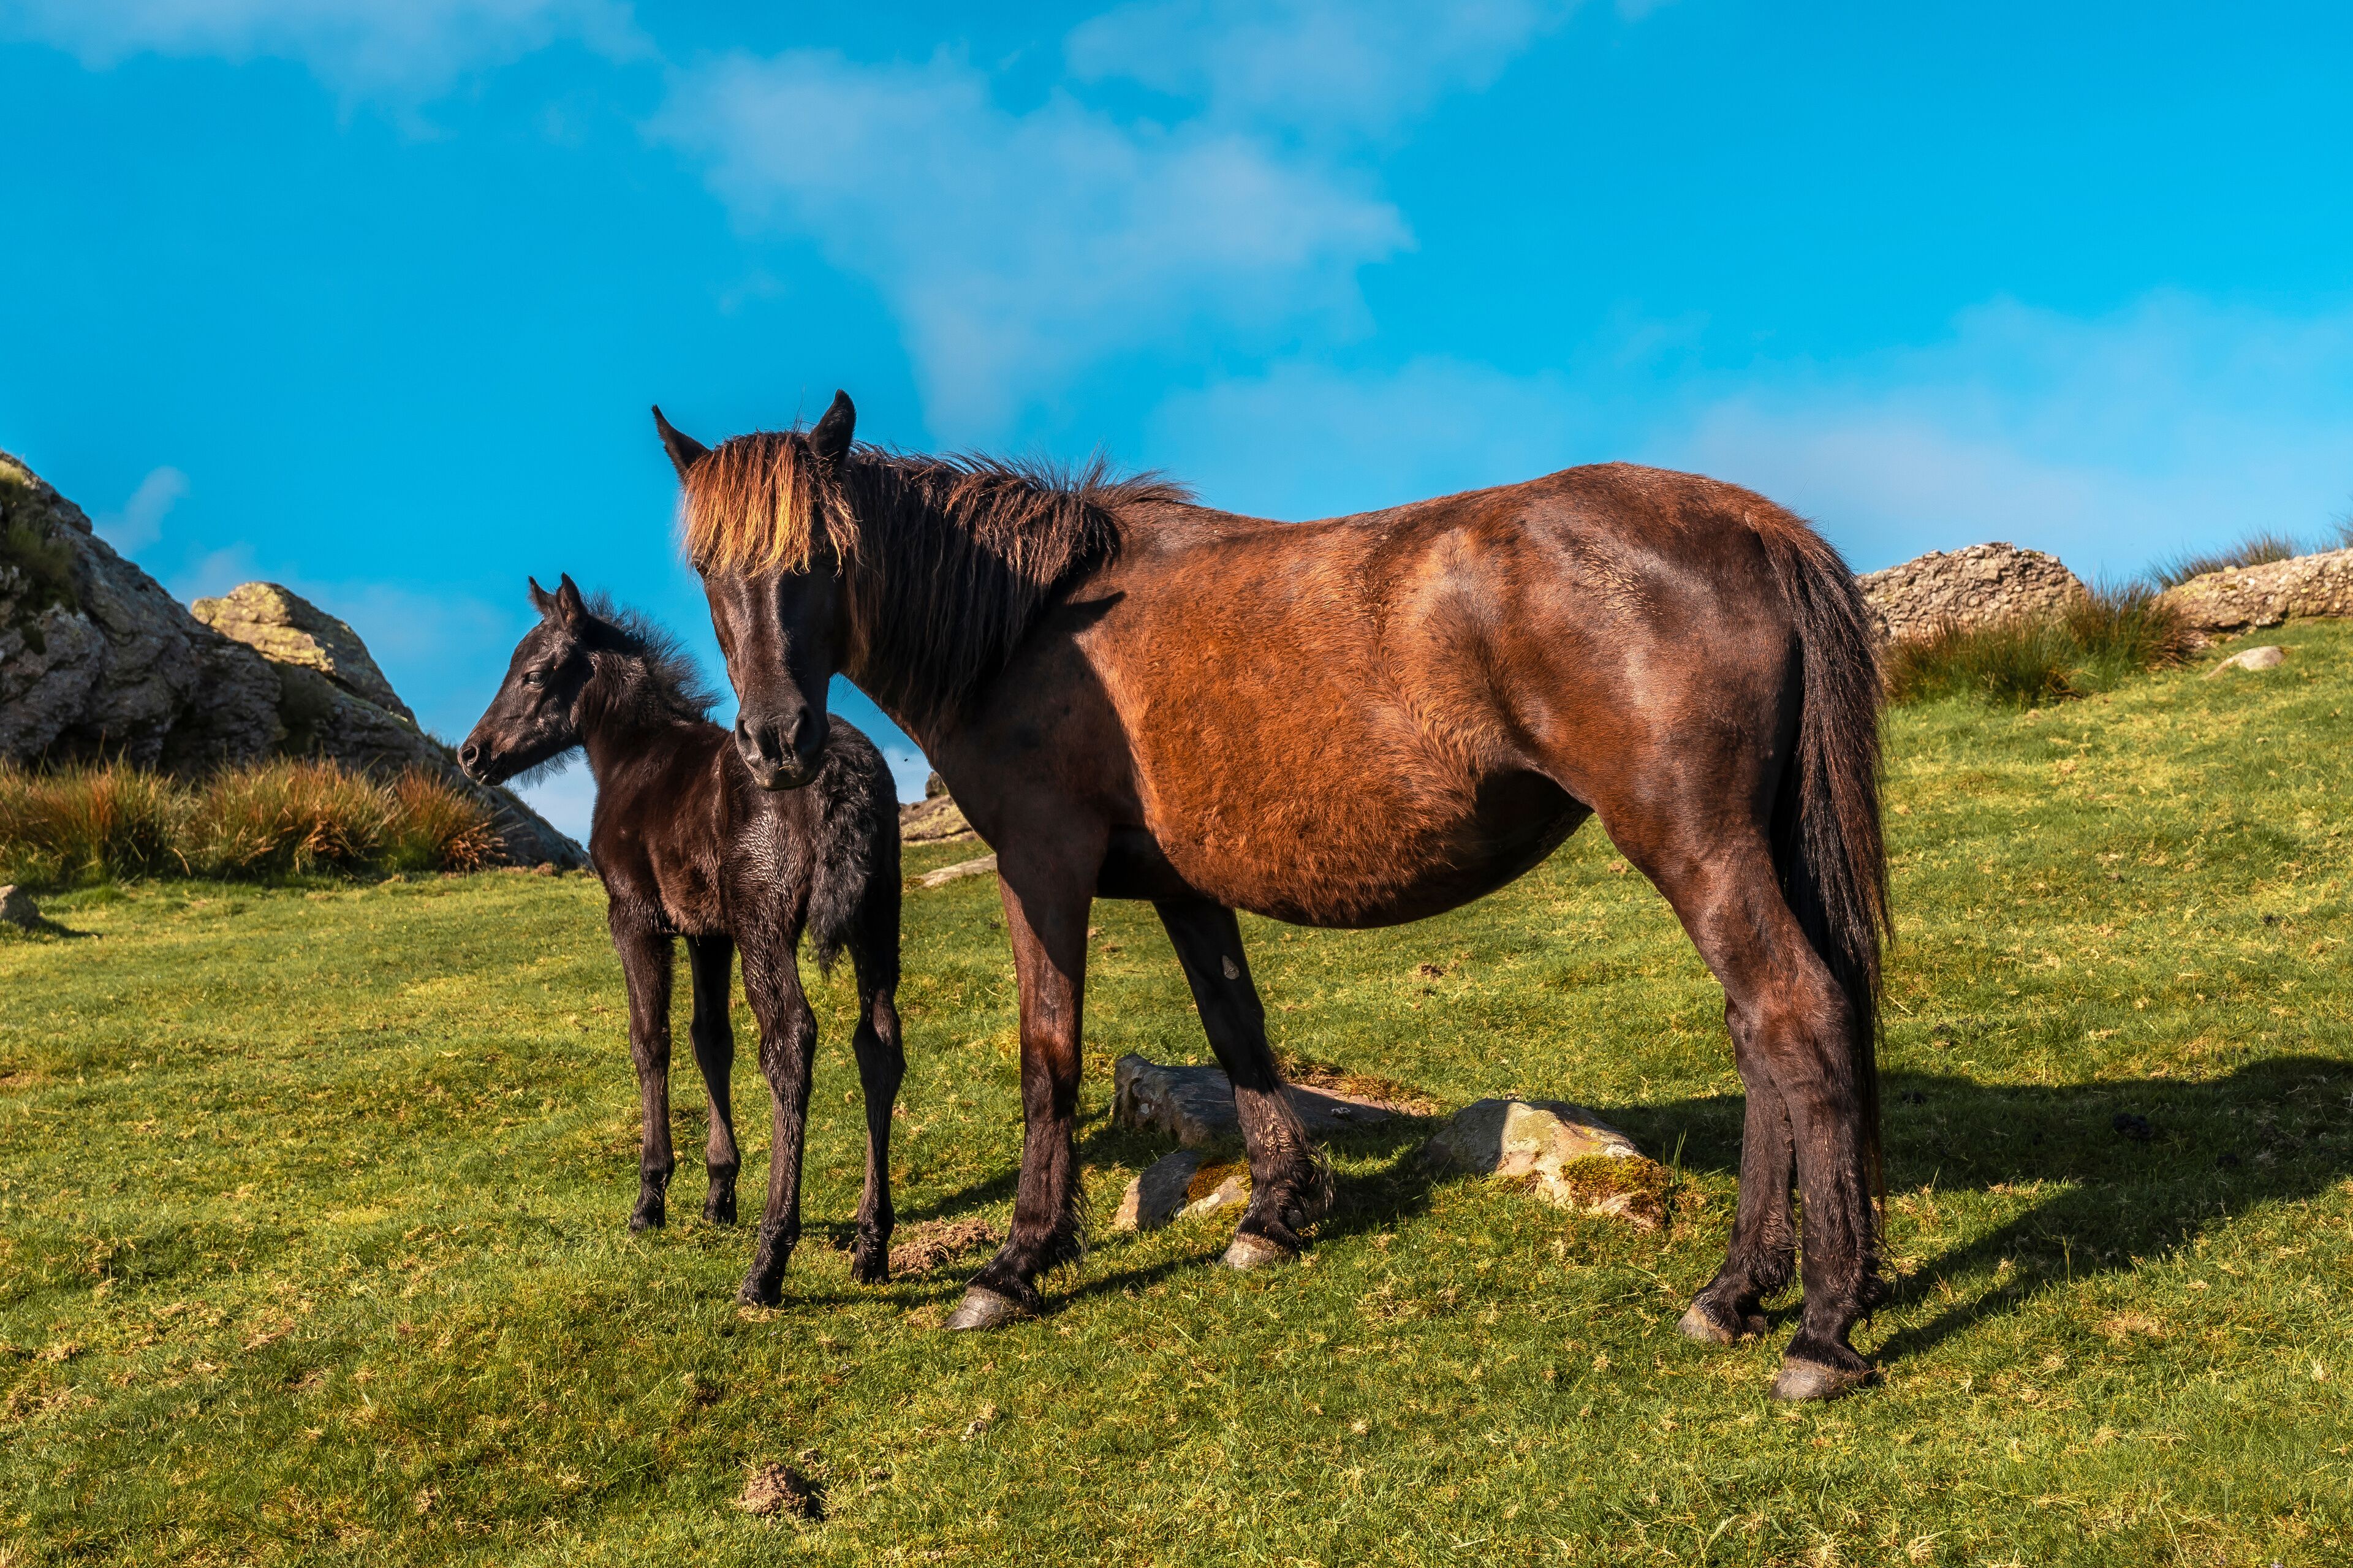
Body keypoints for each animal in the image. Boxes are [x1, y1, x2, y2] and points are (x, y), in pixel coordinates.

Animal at [459, 574, 905, 1305]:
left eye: (534, 673)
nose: (473, 754)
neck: (635, 756)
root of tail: (846, 773)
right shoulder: (708, 931)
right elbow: (710, 1039)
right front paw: (719, 1192)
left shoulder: (635, 917)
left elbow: (651, 1040)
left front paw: (651, 1198)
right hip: (875, 920)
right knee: (879, 1045)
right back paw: (871, 1245)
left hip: (765, 924)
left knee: (790, 1040)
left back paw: (768, 1261)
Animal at [654, 392, 1892, 1401]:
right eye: (709, 572)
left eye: (824, 556)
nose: (775, 743)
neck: (1035, 626)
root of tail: (1750, 523)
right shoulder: (1184, 887)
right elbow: (1237, 1031)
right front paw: (1276, 1213)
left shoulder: (1042, 866)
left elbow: (1048, 1052)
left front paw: (1018, 1261)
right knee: (1761, 1039)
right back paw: (1737, 1290)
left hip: (1697, 848)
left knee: (1795, 1016)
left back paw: (1820, 1330)